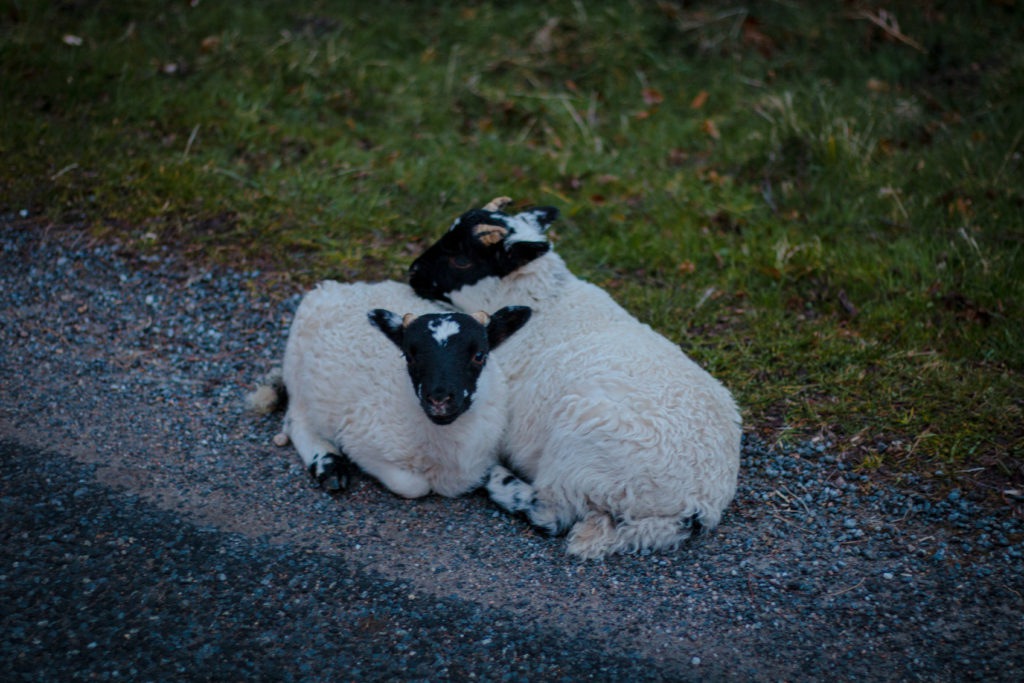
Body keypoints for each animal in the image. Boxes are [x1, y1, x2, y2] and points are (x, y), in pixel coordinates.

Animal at [248, 279, 531, 498]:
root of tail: (335, 286)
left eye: (479, 355)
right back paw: (328, 465)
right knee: (296, 419)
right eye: (409, 355)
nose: (439, 400)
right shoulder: (361, 441)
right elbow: (413, 485)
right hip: (298, 372)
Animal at [408, 197, 742, 558]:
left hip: (575, 458)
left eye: (461, 260)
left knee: (553, 515)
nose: (412, 272)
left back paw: (498, 480)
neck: (542, 301)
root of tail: (696, 506)